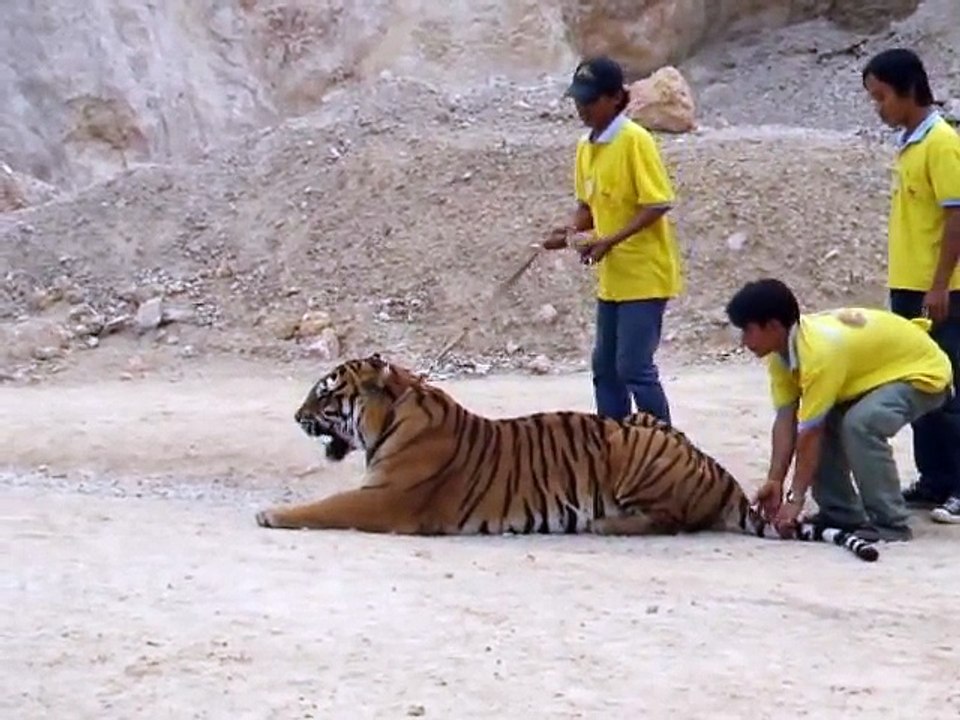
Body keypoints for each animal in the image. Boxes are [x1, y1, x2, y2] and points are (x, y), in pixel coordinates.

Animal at [255, 353, 879, 562]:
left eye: (325, 394)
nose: (294, 415)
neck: (395, 415)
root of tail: (717, 471)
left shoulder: (386, 501)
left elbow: (324, 507)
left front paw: (270, 513)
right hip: (642, 424)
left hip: (636, 450)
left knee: (671, 521)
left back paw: (607, 524)